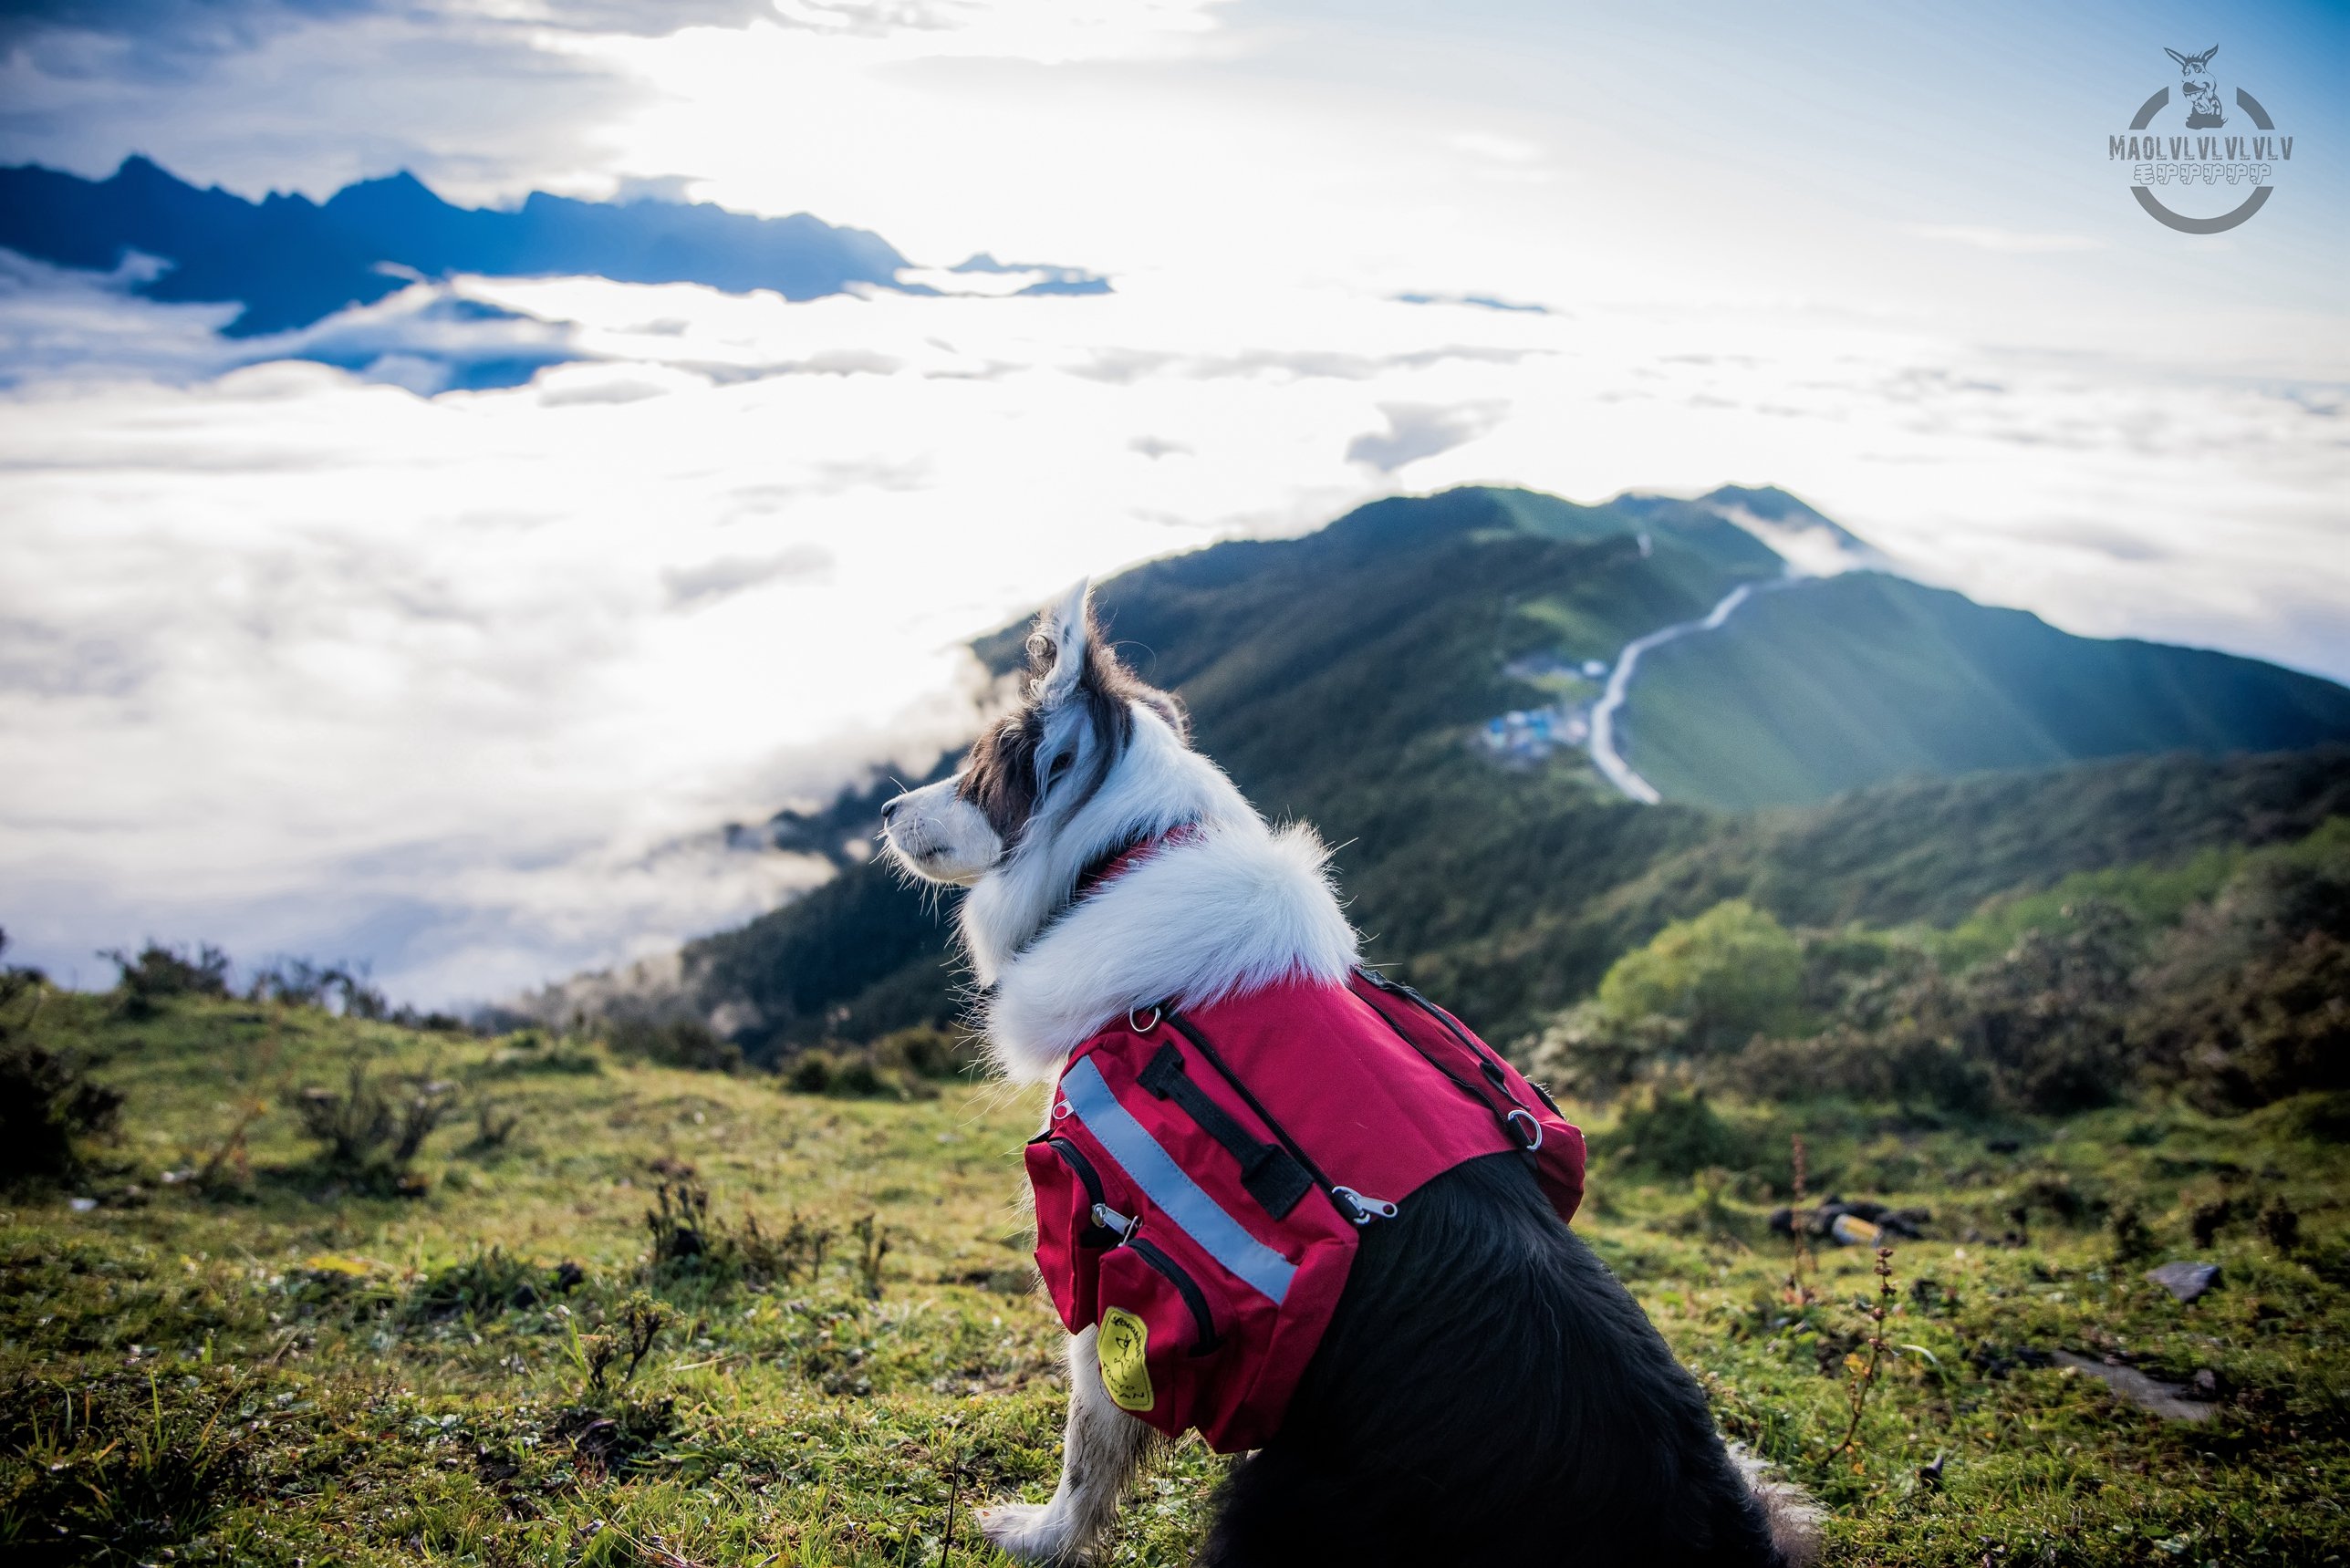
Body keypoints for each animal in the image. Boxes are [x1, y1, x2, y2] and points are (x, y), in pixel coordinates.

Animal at [883, 583, 1814, 1561]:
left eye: (980, 765)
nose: (887, 811)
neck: (1126, 856)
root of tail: (1696, 1518)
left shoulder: (1105, 1246)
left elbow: (1086, 1448)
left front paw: (1040, 1535)